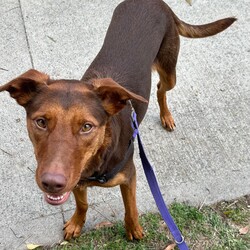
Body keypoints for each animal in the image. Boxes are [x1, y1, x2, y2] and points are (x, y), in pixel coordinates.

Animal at [0, 0, 234, 242]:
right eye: (41, 122)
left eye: (87, 127)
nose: (52, 184)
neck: (96, 160)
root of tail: (156, 2)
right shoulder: (76, 179)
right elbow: (82, 204)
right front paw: (76, 223)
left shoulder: (129, 176)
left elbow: (130, 207)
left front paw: (134, 229)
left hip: (170, 70)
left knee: (161, 88)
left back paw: (166, 116)